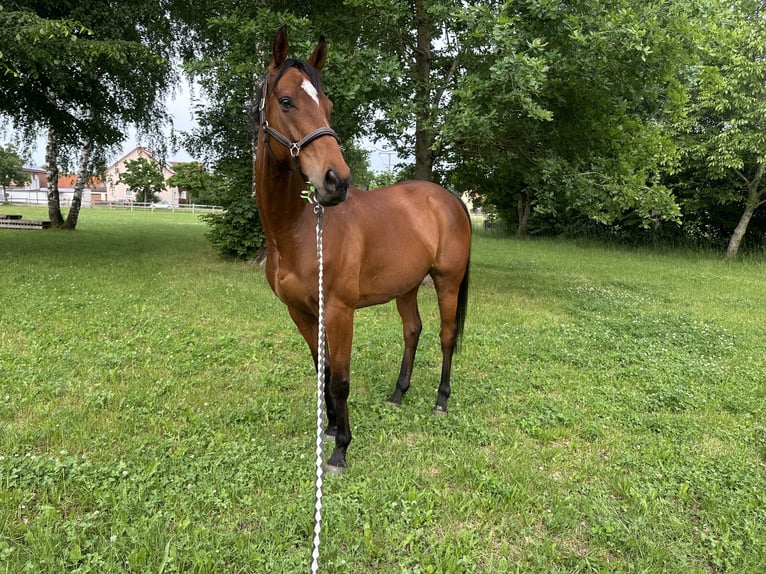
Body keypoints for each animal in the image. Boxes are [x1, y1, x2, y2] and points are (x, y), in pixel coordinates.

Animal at [253, 25, 471, 473]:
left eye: (329, 106)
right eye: (286, 101)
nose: (336, 180)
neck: (299, 231)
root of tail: (449, 199)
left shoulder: (339, 311)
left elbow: (340, 379)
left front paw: (340, 449)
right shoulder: (302, 312)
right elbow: (322, 370)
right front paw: (331, 428)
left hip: (447, 282)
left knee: (446, 335)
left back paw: (441, 401)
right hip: (406, 286)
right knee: (412, 330)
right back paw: (398, 393)